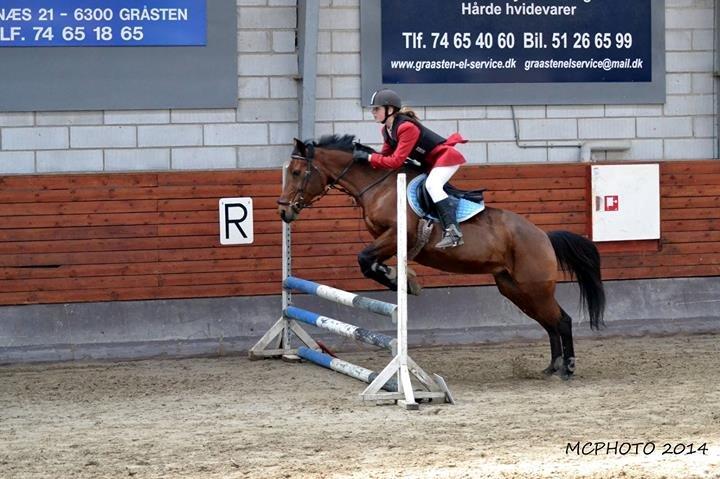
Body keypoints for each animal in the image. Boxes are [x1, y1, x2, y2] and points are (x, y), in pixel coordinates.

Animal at [277, 134, 605, 379]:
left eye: (296, 173)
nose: (284, 211)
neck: (379, 187)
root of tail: (543, 236)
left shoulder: (399, 235)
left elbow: (365, 259)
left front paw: (402, 280)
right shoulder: (388, 240)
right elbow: (370, 261)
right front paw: (400, 277)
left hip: (534, 287)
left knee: (561, 320)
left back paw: (568, 368)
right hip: (515, 289)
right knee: (550, 323)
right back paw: (552, 367)